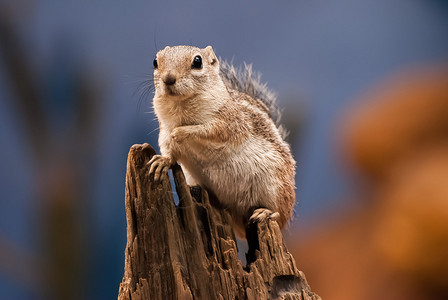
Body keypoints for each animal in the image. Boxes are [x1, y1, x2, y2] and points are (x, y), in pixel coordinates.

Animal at [148, 45, 298, 237]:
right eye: (155, 61)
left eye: (197, 61)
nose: (168, 79)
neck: (182, 105)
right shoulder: (164, 133)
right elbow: (169, 150)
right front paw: (162, 161)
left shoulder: (228, 123)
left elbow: (207, 130)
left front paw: (181, 132)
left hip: (277, 188)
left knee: (280, 217)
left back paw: (266, 212)